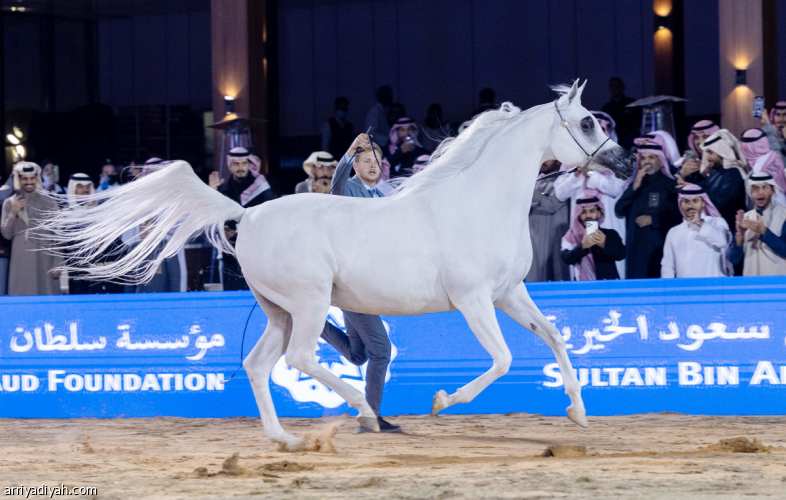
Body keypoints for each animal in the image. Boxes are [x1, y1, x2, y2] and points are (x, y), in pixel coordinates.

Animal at [40, 80, 635, 451]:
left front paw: (578, 413)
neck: (478, 200)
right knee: (303, 357)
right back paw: (361, 413)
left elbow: (554, 337)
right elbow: (505, 358)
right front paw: (443, 402)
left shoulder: (510, 293)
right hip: (307, 301)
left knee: (260, 364)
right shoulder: (474, 300)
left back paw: (286, 439)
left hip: (279, 311)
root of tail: (245, 215)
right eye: (587, 121)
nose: (626, 163)